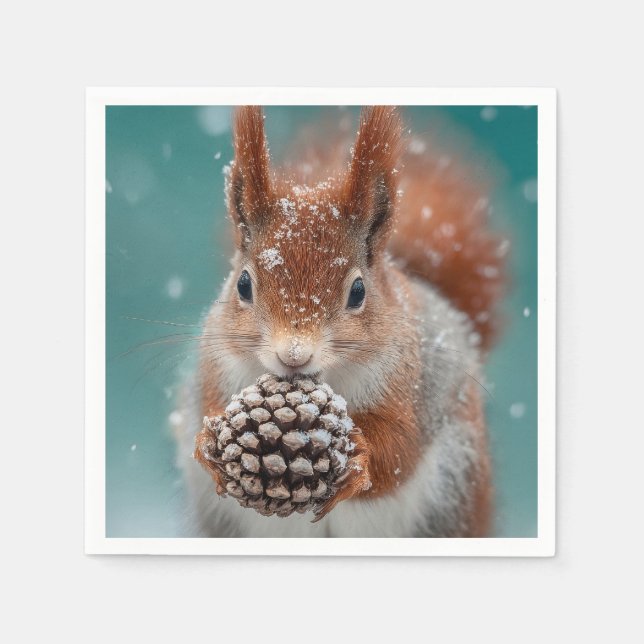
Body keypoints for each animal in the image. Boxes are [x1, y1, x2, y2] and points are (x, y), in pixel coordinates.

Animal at [176, 106, 507, 537]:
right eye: (243, 284)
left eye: (358, 291)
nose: (294, 355)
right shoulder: (216, 369)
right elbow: (209, 406)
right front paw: (207, 441)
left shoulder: (415, 388)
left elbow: (399, 449)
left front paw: (361, 456)